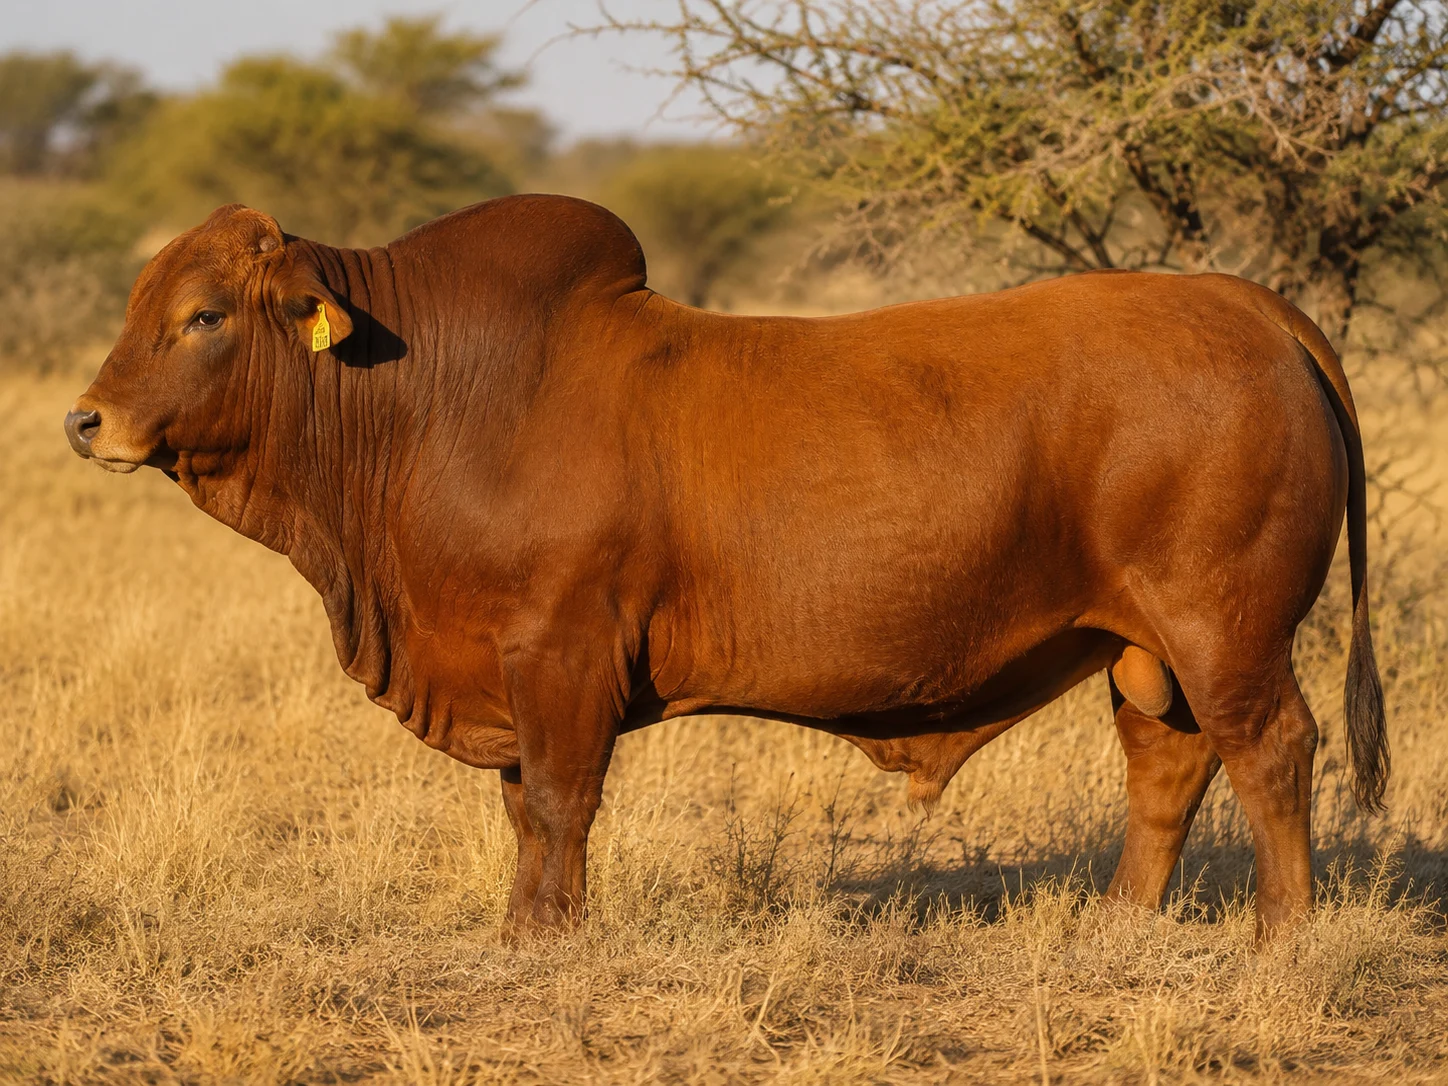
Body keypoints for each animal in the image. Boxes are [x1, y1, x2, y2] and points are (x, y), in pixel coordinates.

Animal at [65, 196, 1387, 941]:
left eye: (203, 316)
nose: (88, 421)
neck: (437, 396)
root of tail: (1247, 306)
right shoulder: (508, 670)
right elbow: (521, 810)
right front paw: (520, 928)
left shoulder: (560, 653)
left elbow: (558, 803)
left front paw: (548, 941)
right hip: (1140, 647)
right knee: (1165, 765)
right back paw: (1117, 925)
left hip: (1224, 628)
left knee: (1271, 751)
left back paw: (1281, 938)